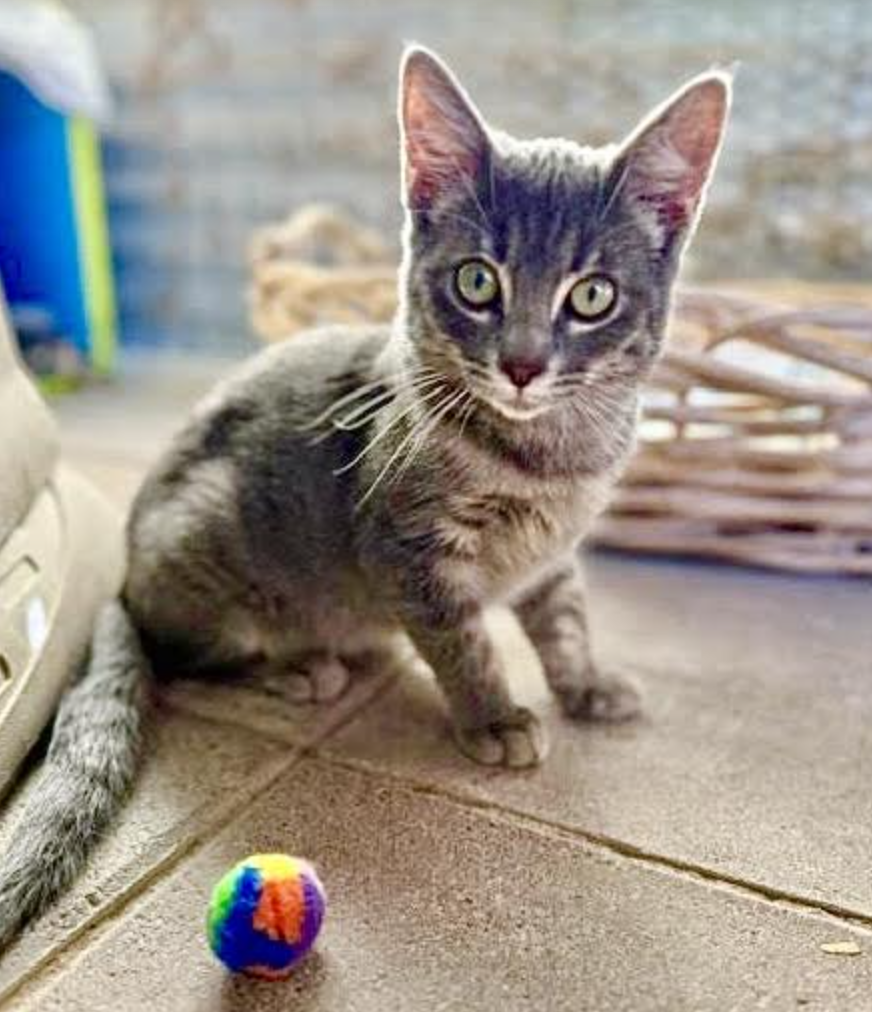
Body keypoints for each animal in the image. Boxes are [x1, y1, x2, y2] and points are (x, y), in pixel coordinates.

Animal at [0, 47, 732, 947]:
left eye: (592, 295)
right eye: (477, 282)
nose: (523, 364)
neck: (545, 458)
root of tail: (123, 578)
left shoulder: (553, 555)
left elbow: (563, 619)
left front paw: (585, 684)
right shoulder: (412, 550)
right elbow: (463, 642)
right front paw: (492, 717)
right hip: (209, 548)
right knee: (182, 659)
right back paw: (298, 668)